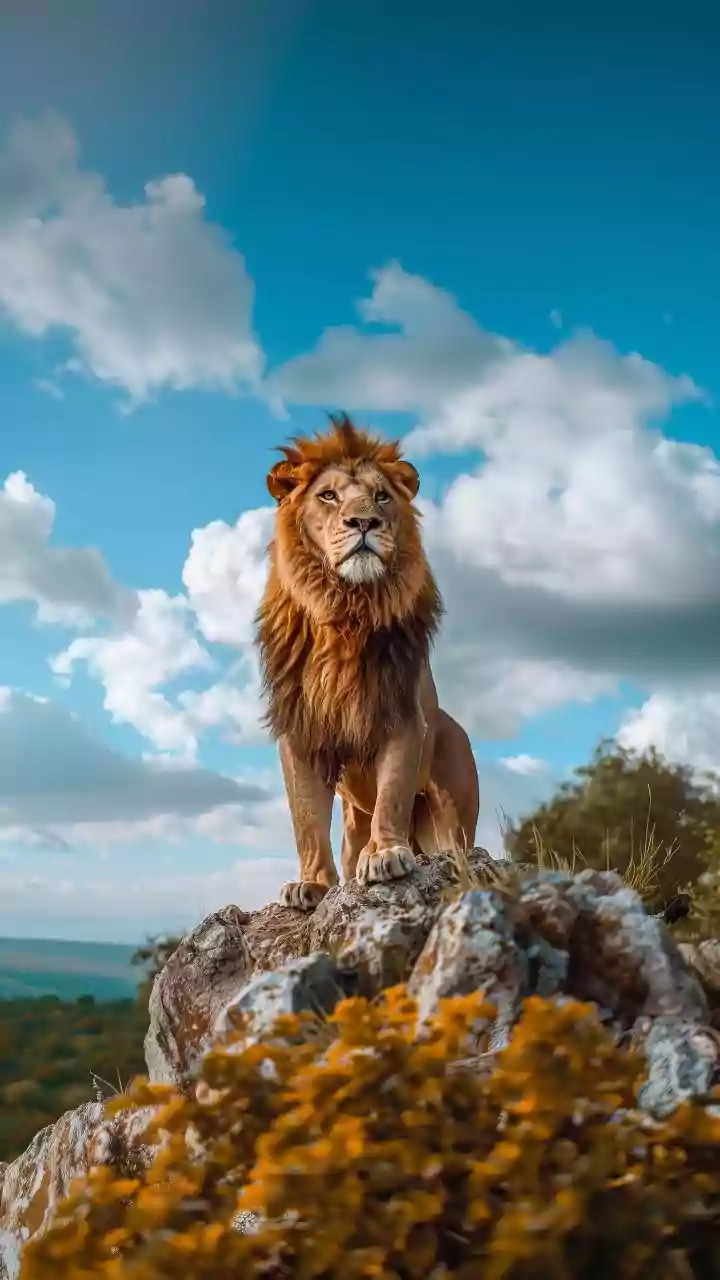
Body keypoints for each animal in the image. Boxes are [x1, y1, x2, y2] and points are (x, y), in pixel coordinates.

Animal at [254, 413, 479, 911]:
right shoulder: (300, 731)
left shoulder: (401, 714)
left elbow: (392, 791)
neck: (345, 612)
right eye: (328, 495)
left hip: (452, 815)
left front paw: (386, 855)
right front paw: (312, 884)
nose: (364, 521)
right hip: (353, 816)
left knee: (457, 847)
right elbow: (306, 819)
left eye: (381, 496)